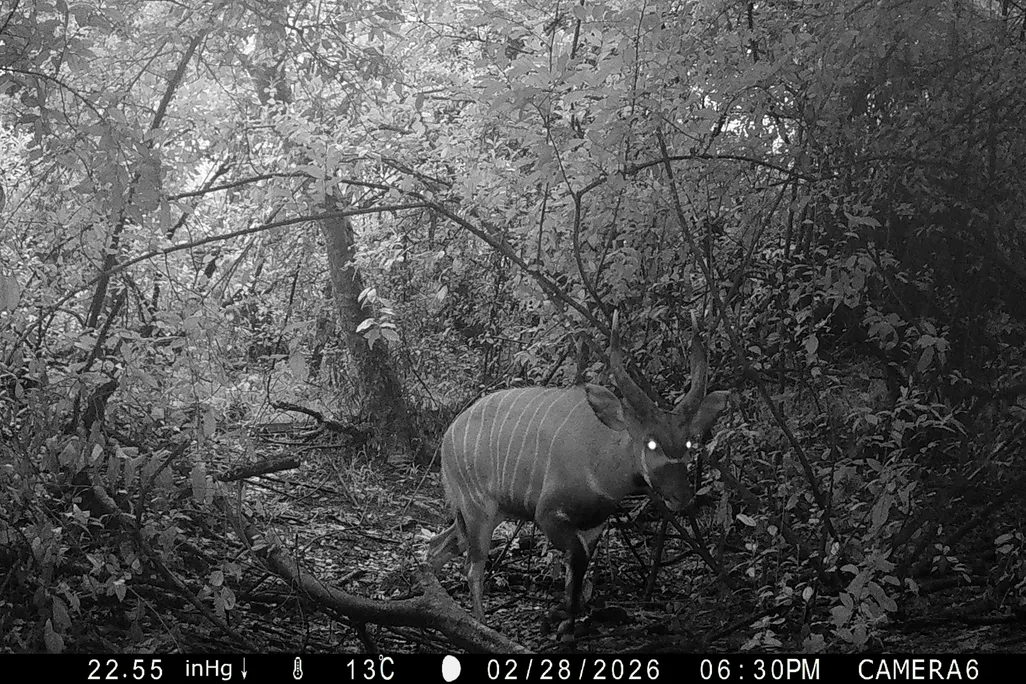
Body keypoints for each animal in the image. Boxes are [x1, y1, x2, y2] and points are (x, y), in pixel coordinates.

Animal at [427, 312, 729, 628]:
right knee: (472, 567)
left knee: (437, 547)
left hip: (489, 512)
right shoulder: (548, 516)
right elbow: (577, 559)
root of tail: (448, 436)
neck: (600, 461)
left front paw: (567, 626)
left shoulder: (594, 524)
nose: (682, 497)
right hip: (477, 510)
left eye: (689, 442)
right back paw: (480, 625)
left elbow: (578, 574)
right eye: (652, 443)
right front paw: (561, 624)